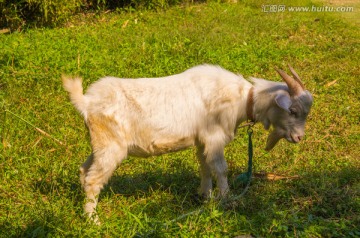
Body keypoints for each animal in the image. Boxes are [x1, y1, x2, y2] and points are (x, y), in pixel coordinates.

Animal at [63, 64, 314, 222]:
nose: (299, 138)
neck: (244, 99)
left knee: (84, 170)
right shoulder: (214, 137)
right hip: (111, 147)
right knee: (94, 179)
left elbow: (205, 167)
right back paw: (93, 220)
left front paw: (206, 196)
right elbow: (220, 169)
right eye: (292, 110)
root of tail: (86, 103)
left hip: (99, 144)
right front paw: (226, 200)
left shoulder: (202, 140)